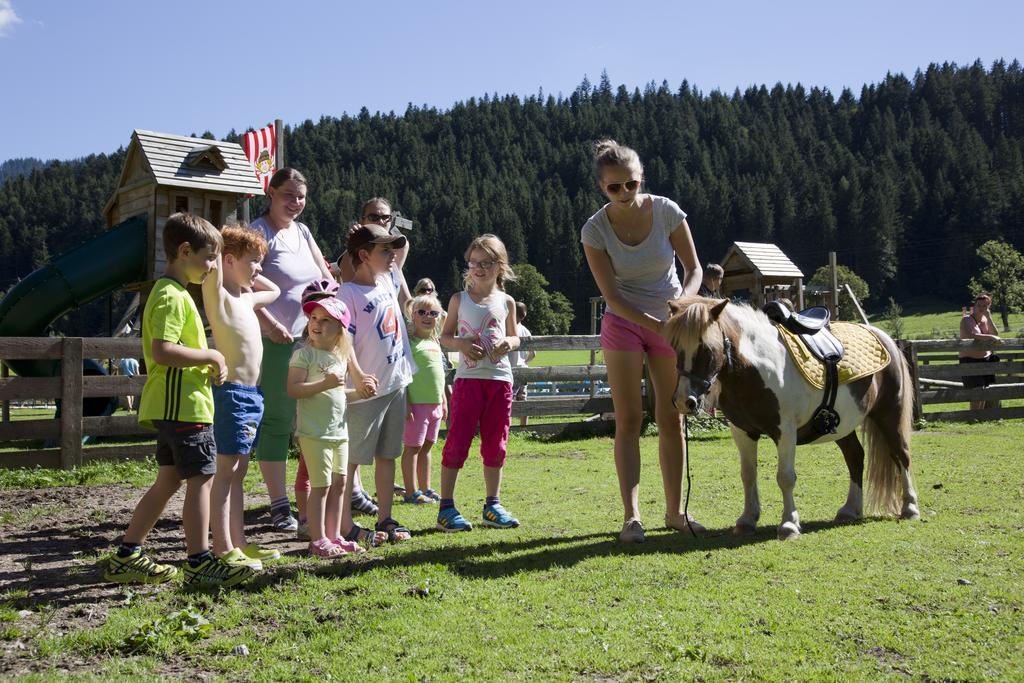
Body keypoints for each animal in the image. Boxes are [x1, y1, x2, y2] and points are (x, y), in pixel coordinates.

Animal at [663, 296, 921, 540]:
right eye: (674, 347)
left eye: (706, 348)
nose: (684, 401)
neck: (758, 367)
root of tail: (884, 337)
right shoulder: (743, 432)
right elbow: (748, 475)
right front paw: (747, 520)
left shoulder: (785, 431)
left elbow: (785, 477)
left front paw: (789, 524)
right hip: (842, 426)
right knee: (855, 457)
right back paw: (850, 510)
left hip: (889, 413)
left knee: (901, 455)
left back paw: (910, 507)